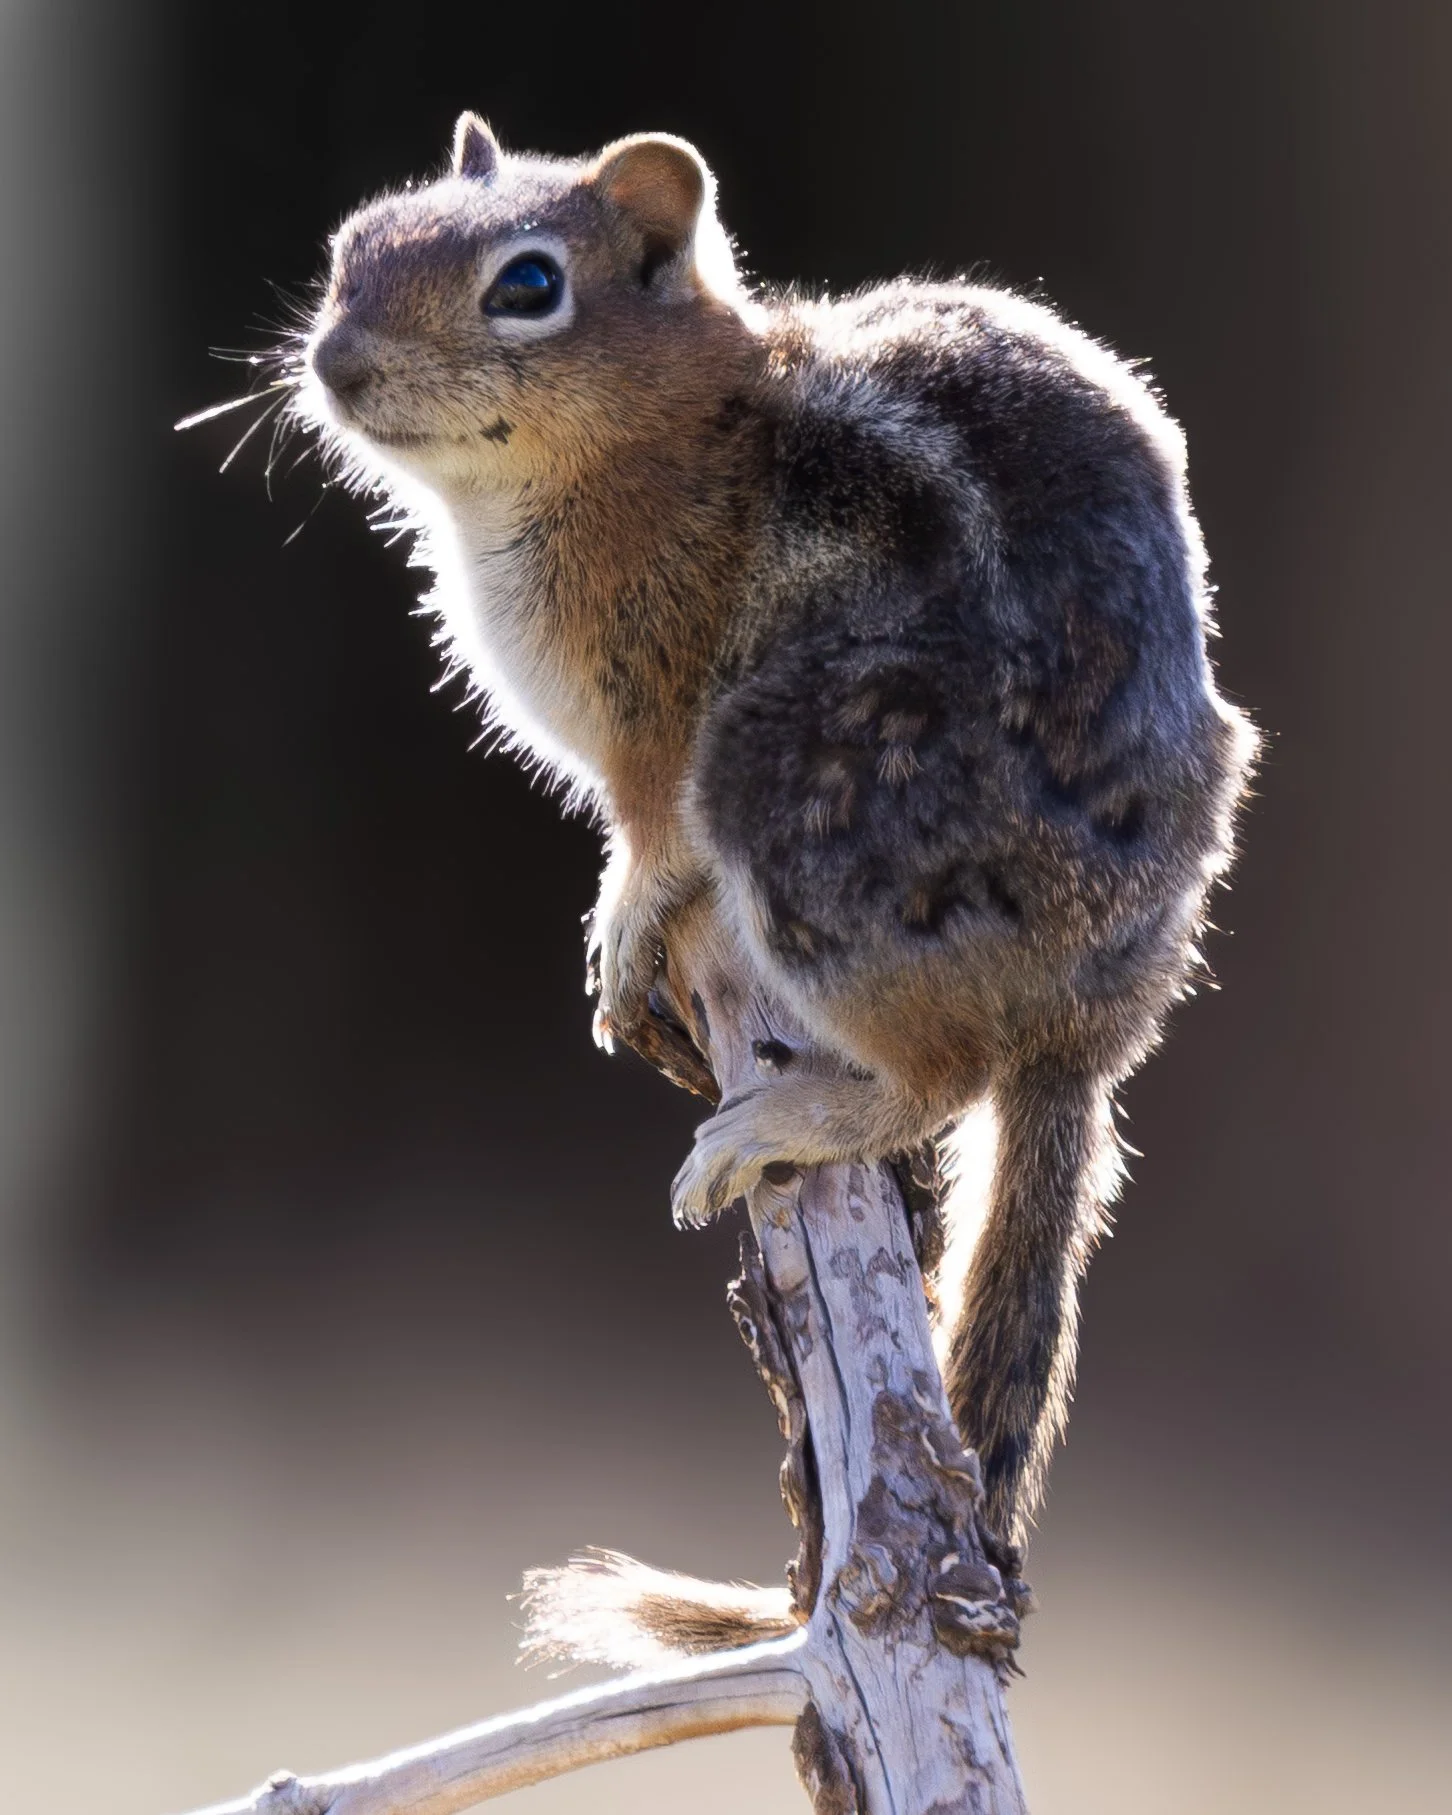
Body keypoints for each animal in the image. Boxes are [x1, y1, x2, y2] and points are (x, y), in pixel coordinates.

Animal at [291, 114, 1257, 1660]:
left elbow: (652, 850)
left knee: (941, 1072)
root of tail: (1097, 1018)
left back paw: (794, 1116)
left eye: (527, 286)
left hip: (787, 780)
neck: (672, 432)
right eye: (355, 243)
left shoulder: (658, 725)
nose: (332, 361)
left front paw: (623, 930)